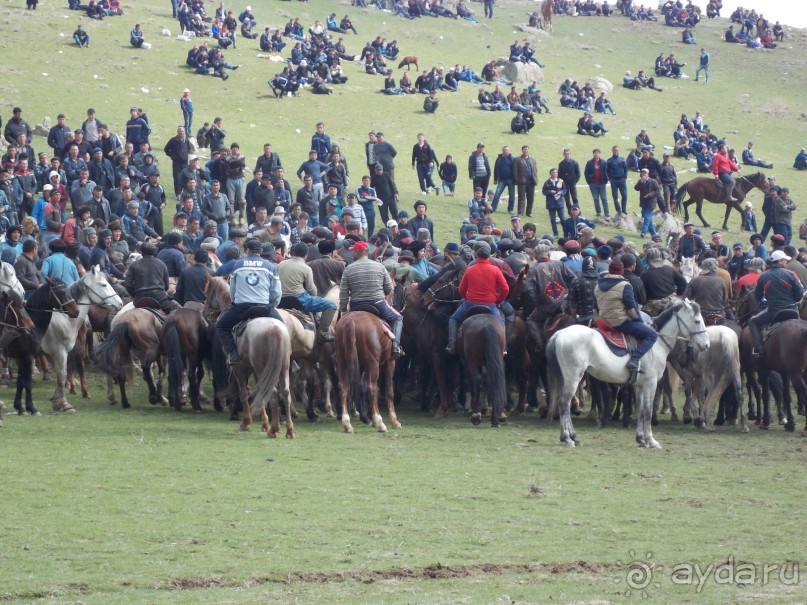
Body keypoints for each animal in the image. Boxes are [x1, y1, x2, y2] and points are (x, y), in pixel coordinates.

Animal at [39, 268, 124, 412]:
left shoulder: (62, 353)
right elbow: (64, 373)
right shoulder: (61, 351)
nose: (120, 303)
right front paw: (64, 402)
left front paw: (57, 398)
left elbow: (63, 372)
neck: (65, 319)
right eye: (103, 284)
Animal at [548, 300, 712, 446]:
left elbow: (640, 410)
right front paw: (651, 440)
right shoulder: (651, 383)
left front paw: (641, 439)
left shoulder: (639, 385)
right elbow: (648, 411)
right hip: (574, 377)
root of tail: (559, 334)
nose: (706, 345)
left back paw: (573, 437)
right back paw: (568, 438)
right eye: (697, 321)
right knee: (564, 403)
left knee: (565, 403)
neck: (656, 343)